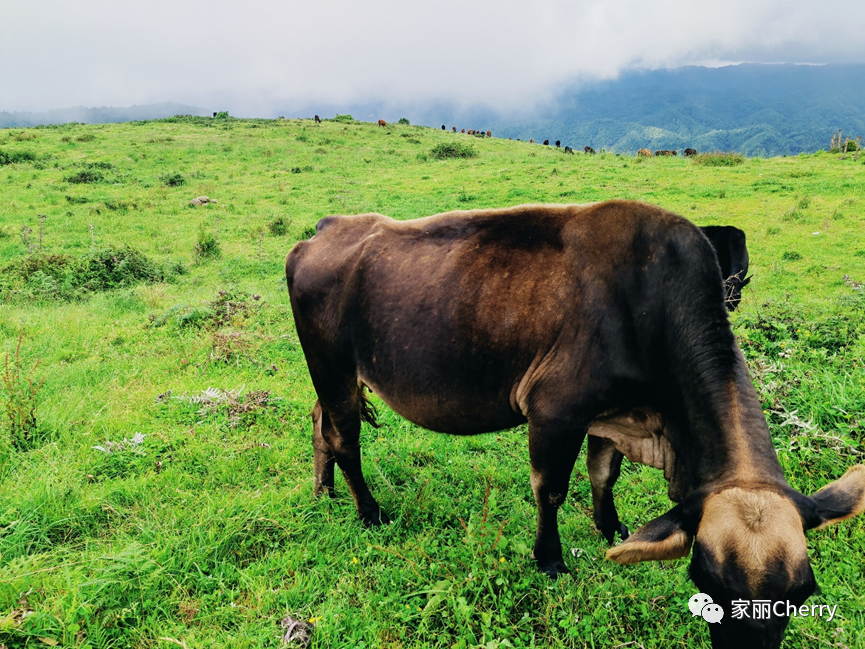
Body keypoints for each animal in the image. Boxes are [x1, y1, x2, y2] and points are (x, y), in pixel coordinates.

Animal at [286, 199, 864, 648]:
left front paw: (611, 526)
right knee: (346, 439)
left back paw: (323, 491)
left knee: (320, 424)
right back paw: (368, 512)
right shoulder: (554, 410)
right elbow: (552, 489)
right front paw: (550, 560)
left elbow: (603, 475)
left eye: (801, 596)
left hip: (333, 378)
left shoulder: (609, 417)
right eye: (705, 582)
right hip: (334, 368)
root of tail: (330, 226)